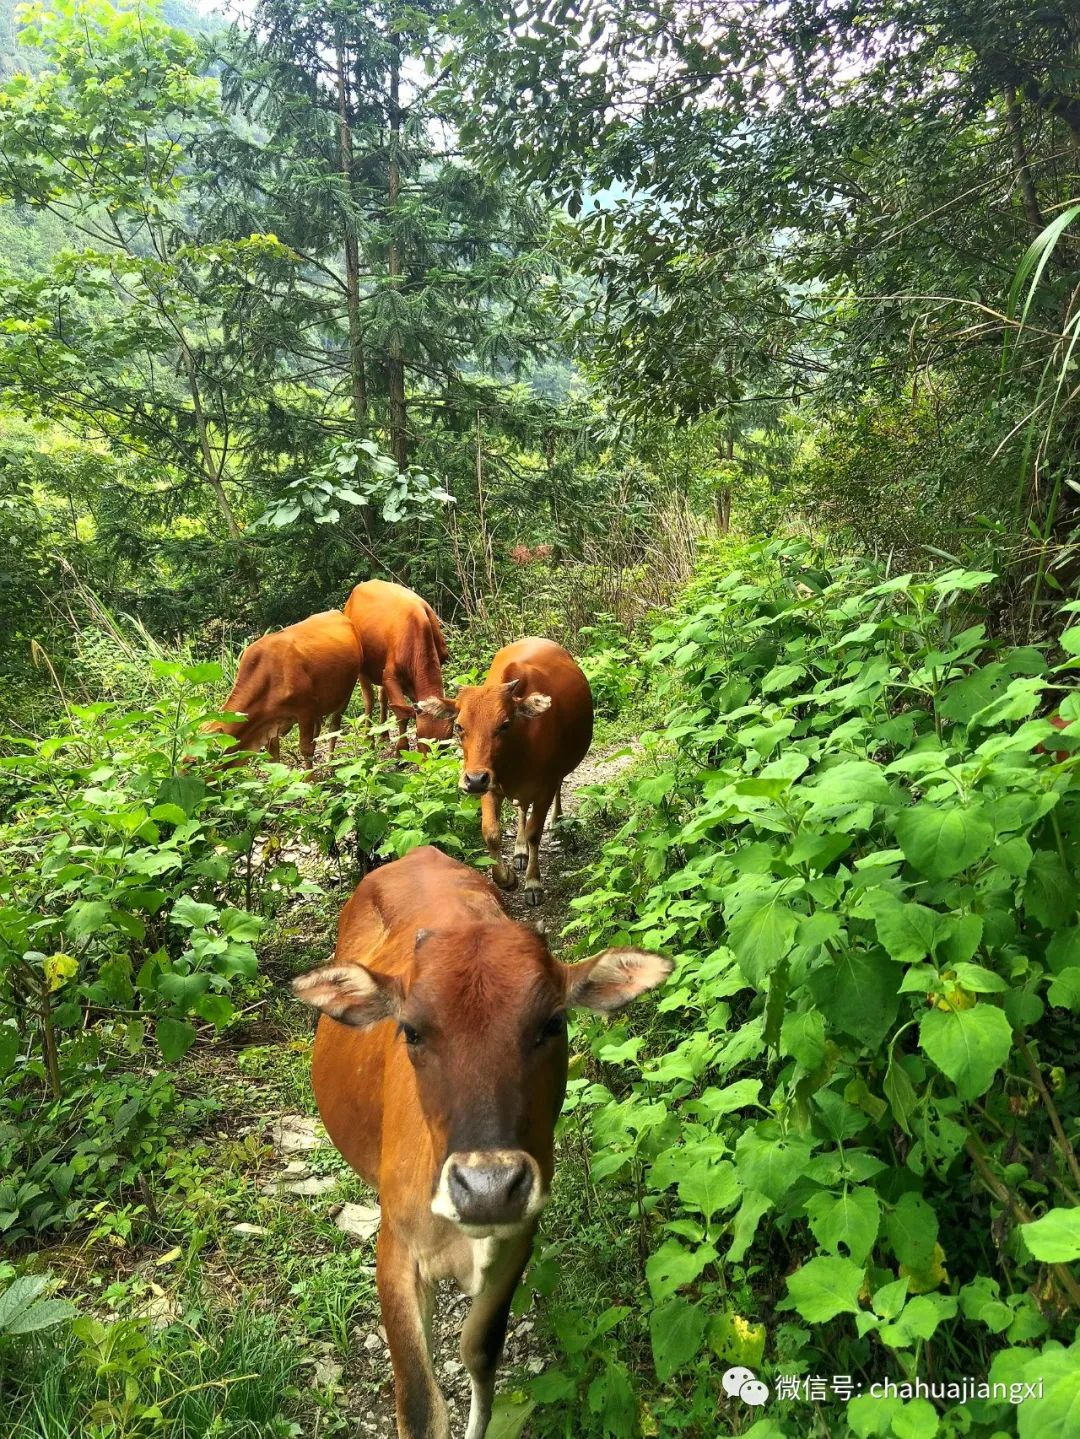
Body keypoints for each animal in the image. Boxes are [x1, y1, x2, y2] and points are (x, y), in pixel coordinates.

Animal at [207, 607, 363, 765]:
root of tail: (336, 612)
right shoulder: (269, 723)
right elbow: (274, 758)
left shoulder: (305, 711)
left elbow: (306, 749)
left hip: (346, 693)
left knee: (333, 728)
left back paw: (330, 764)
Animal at [291, 840, 673, 1439]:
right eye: (410, 1030)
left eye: (553, 1023)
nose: (489, 1187)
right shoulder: (396, 1248)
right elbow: (419, 1403)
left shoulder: (519, 1234)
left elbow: (480, 1351)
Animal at [342, 578, 451, 754]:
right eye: (420, 736)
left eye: (446, 741)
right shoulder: (390, 676)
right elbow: (402, 714)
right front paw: (401, 749)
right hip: (362, 669)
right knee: (369, 700)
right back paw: (368, 740)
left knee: (382, 698)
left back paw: (384, 736)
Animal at [417, 638, 595, 903]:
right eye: (458, 726)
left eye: (505, 725)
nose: (474, 780)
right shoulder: (490, 786)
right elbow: (491, 832)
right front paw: (506, 878)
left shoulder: (544, 787)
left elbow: (535, 832)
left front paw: (533, 883)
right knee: (521, 808)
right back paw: (520, 850)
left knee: (557, 790)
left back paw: (557, 823)